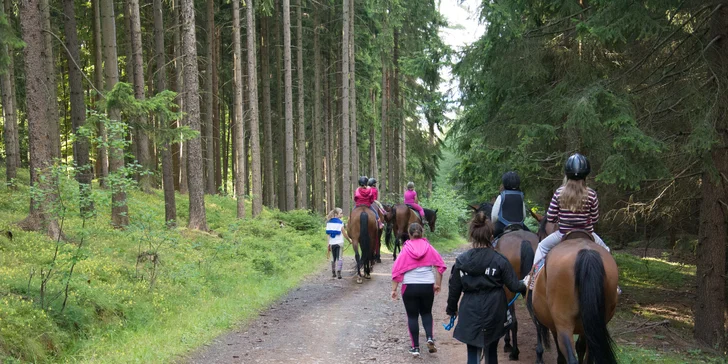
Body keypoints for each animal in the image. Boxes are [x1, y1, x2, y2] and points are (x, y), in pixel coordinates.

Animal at [528, 215, 620, 362]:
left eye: (538, 233)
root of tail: (587, 253)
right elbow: (581, 347)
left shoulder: (554, 325)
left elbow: (561, 354)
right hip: (595, 323)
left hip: (564, 324)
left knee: (569, 355)